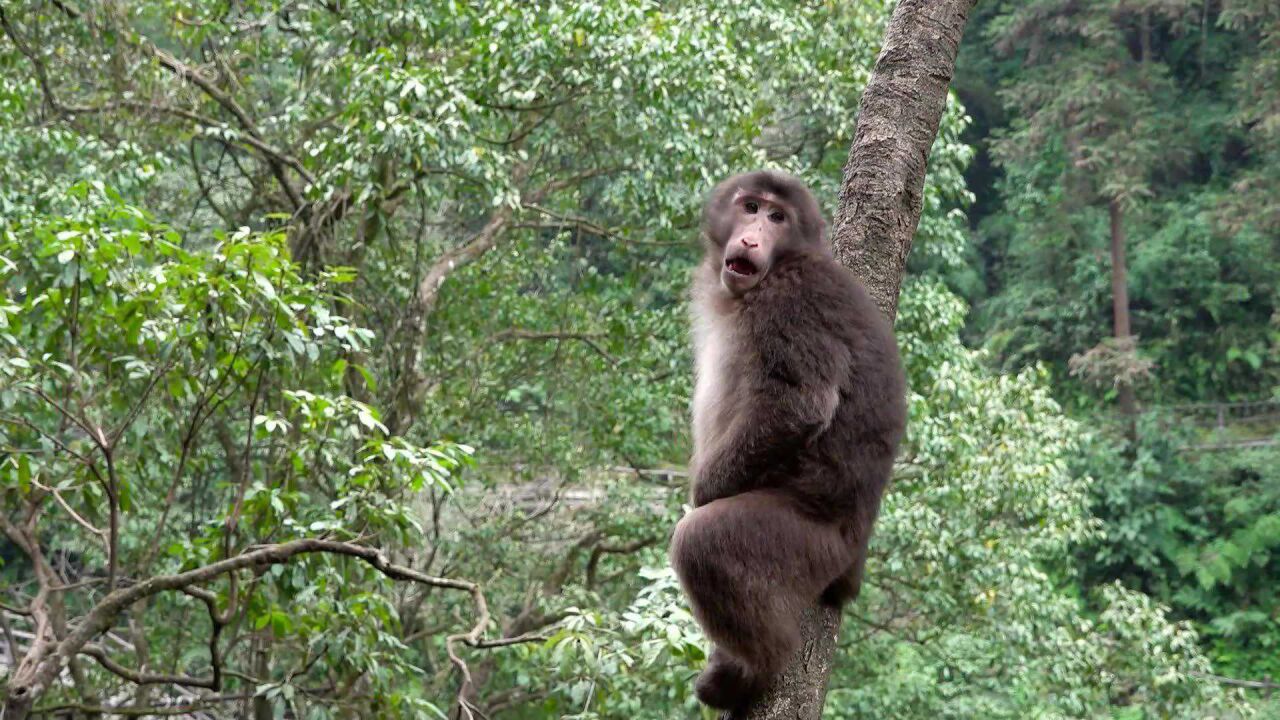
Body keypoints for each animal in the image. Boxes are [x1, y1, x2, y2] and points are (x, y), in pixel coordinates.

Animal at [665, 170, 906, 707]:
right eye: (751, 207)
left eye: (778, 217)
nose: (753, 237)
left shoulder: (793, 299)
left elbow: (800, 405)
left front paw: (704, 492)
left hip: (809, 543)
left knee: (704, 543)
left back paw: (758, 667)